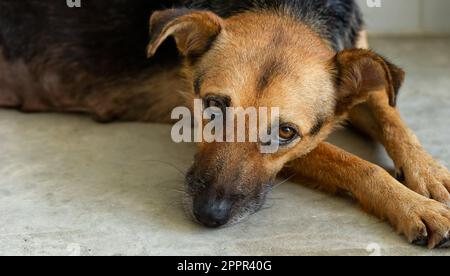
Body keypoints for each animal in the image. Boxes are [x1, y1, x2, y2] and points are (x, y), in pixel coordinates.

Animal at [0, 0, 450, 249]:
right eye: (213, 107)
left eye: (285, 132)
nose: (209, 216)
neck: (292, 6)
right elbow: (357, 164)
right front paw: (414, 205)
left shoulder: (359, 89)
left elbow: (393, 118)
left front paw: (429, 177)